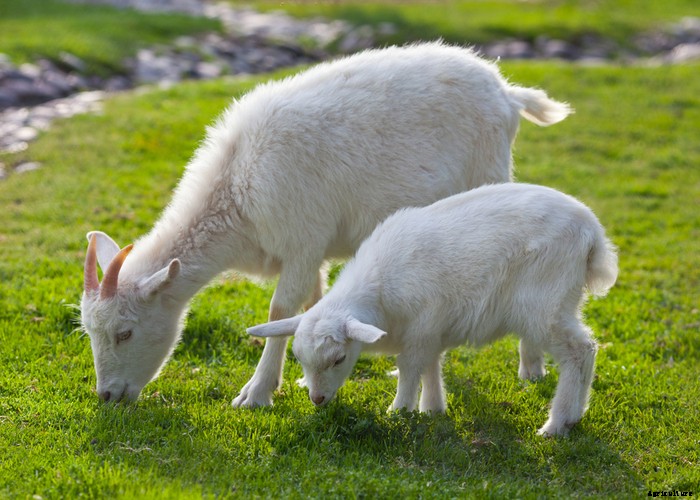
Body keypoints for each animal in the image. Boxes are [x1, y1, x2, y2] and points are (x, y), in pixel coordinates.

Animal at [80, 42, 571, 405]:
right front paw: (302, 376)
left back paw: (531, 366)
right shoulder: (311, 251)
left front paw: (256, 393)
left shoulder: (301, 240)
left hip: (490, 176)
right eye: (89, 332)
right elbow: (312, 302)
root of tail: (508, 93)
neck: (237, 187)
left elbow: (280, 309)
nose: (107, 396)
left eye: (124, 332)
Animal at [248, 183, 618, 436]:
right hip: (564, 300)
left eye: (339, 359)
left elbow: (410, 366)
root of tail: (593, 235)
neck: (378, 289)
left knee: (579, 350)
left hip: (544, 303)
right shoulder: (430, 329)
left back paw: (556, 424)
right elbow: (430, 365)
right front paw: (432, 409)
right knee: (588, 348)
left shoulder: (423, 323)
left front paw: (399, 410)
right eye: (299, 359)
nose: (317, 399)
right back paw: (576, 415)